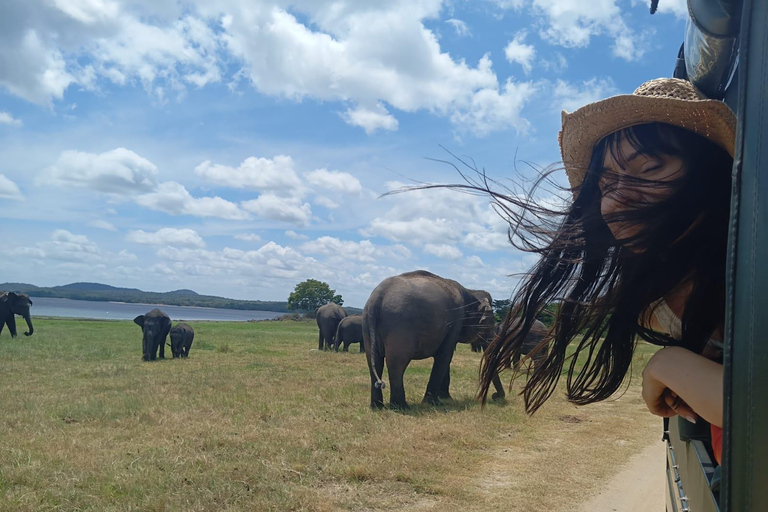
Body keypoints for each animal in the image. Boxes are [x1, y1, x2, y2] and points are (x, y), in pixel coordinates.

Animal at [364, 270, 504, 410]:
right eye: (489, 325)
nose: (496, 396)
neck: (470, 291)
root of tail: (377, 298)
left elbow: (446, 356)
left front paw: (445, 398)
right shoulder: (456, 321)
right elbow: (445, 355)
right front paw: (434, 402)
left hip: (369, 326)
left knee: (374, 361)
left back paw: (377, 406)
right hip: (400, 326)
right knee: (397, 363)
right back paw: (401, 407)